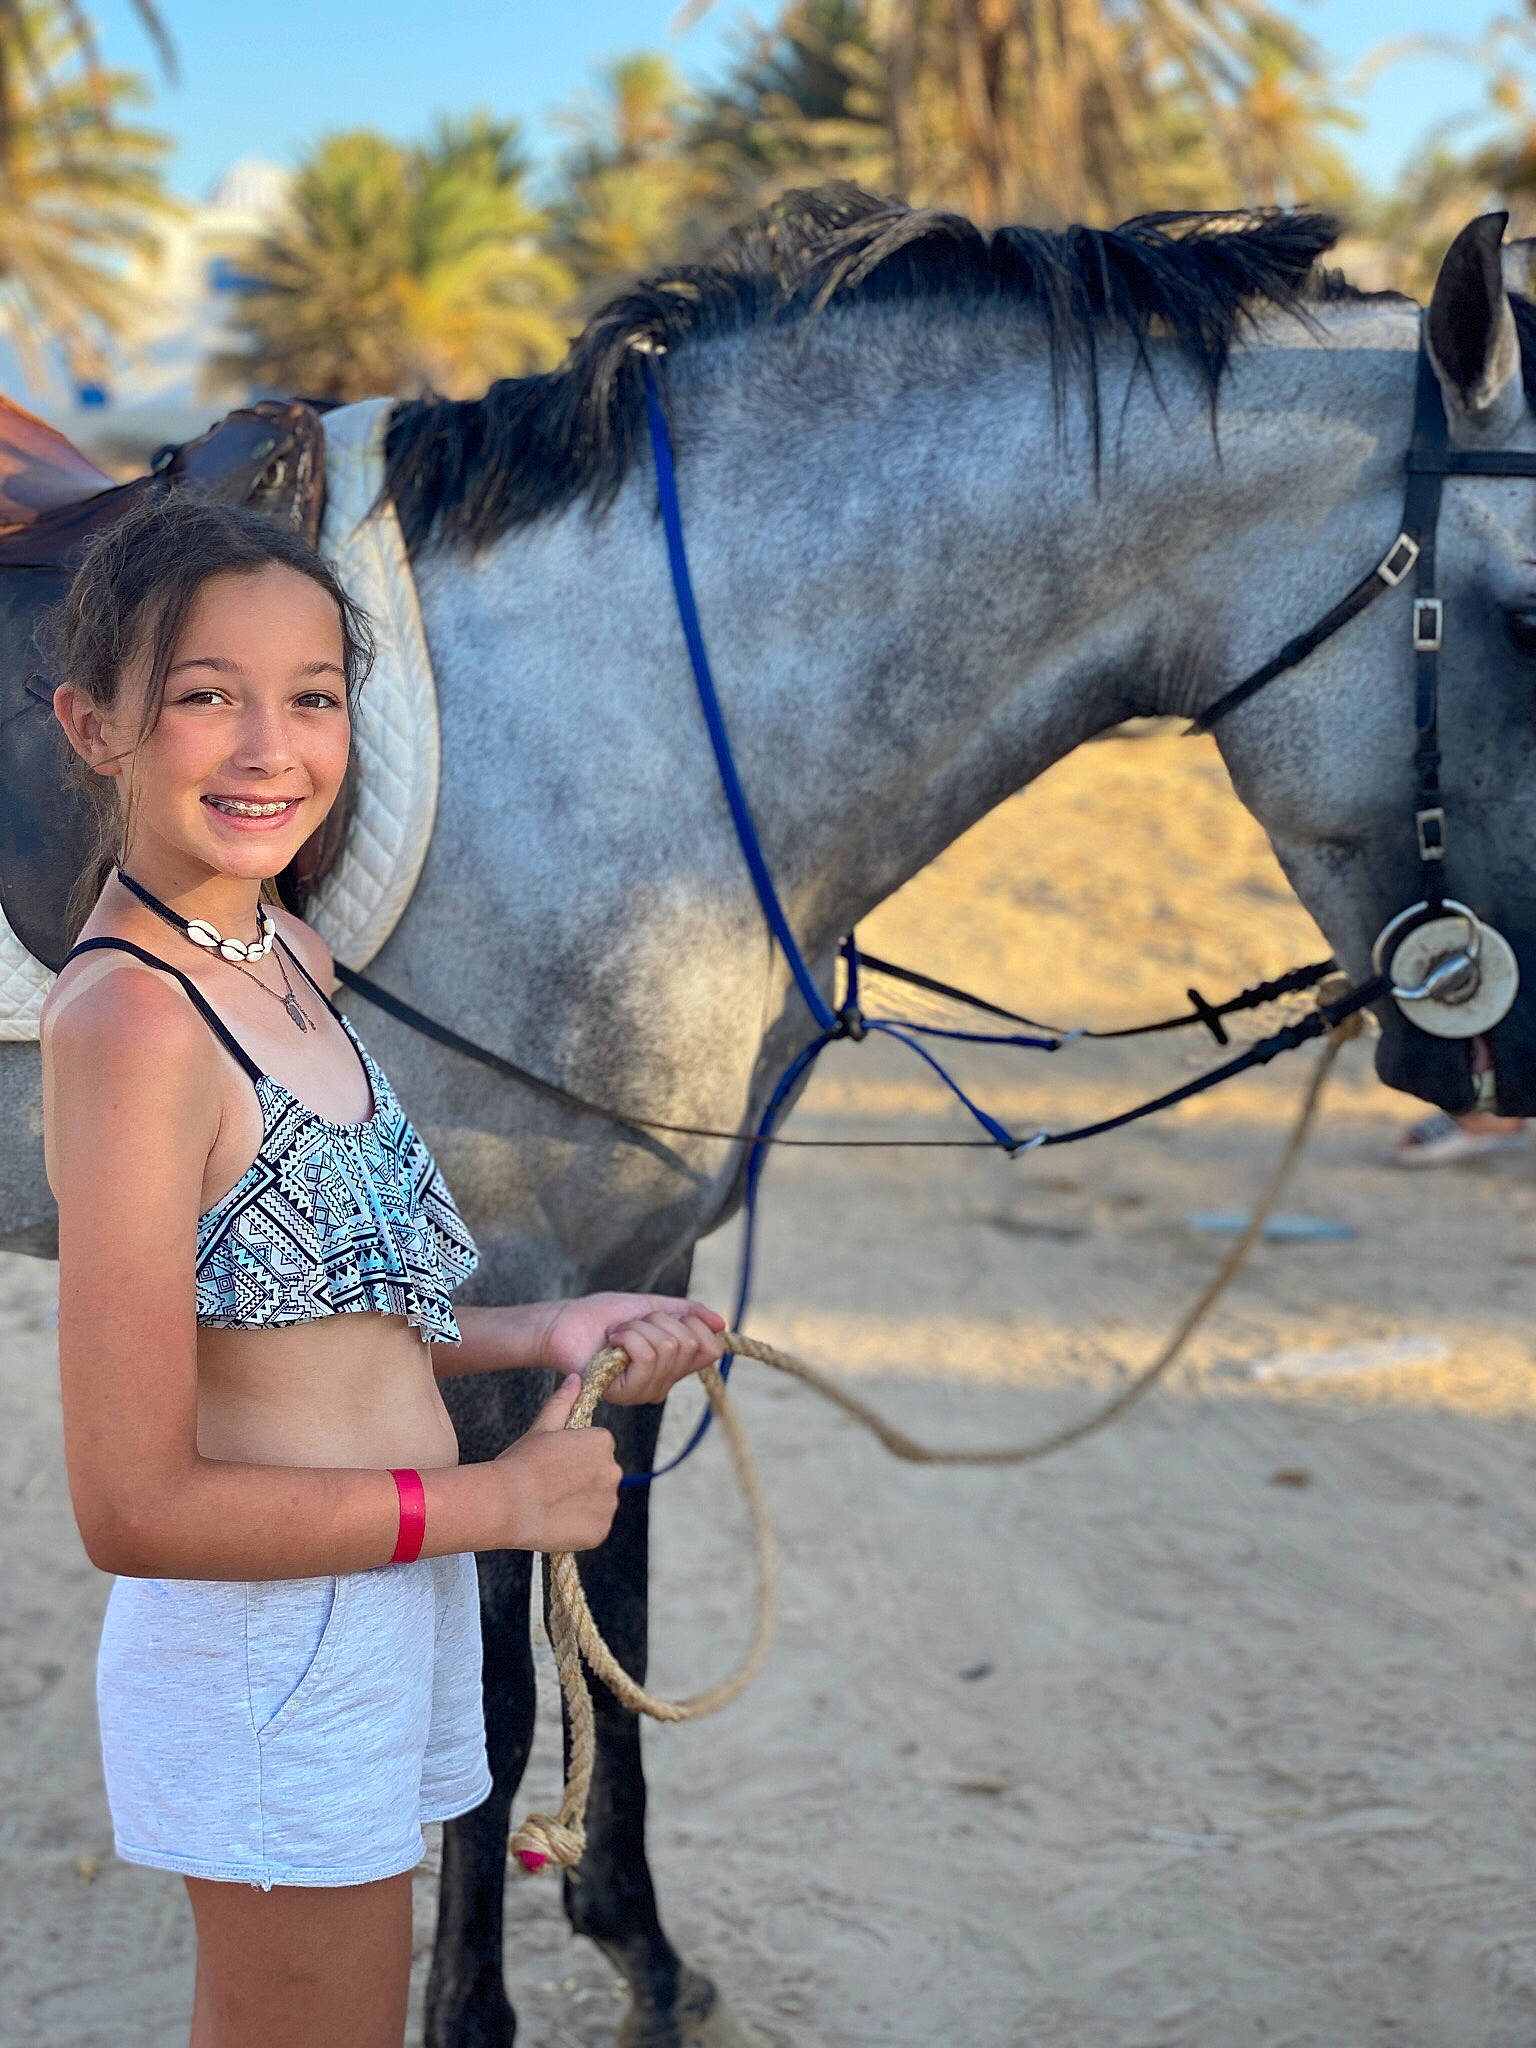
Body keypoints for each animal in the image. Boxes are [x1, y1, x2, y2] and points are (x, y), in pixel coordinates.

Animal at [5, 188, 1536, 2046]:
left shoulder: (633, 1295)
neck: (629, 719)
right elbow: (491, 1709)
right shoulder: (488, 1320)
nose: (1512, 1066)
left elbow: (623, 1642)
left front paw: (644, 1955)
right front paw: (478, 2013)